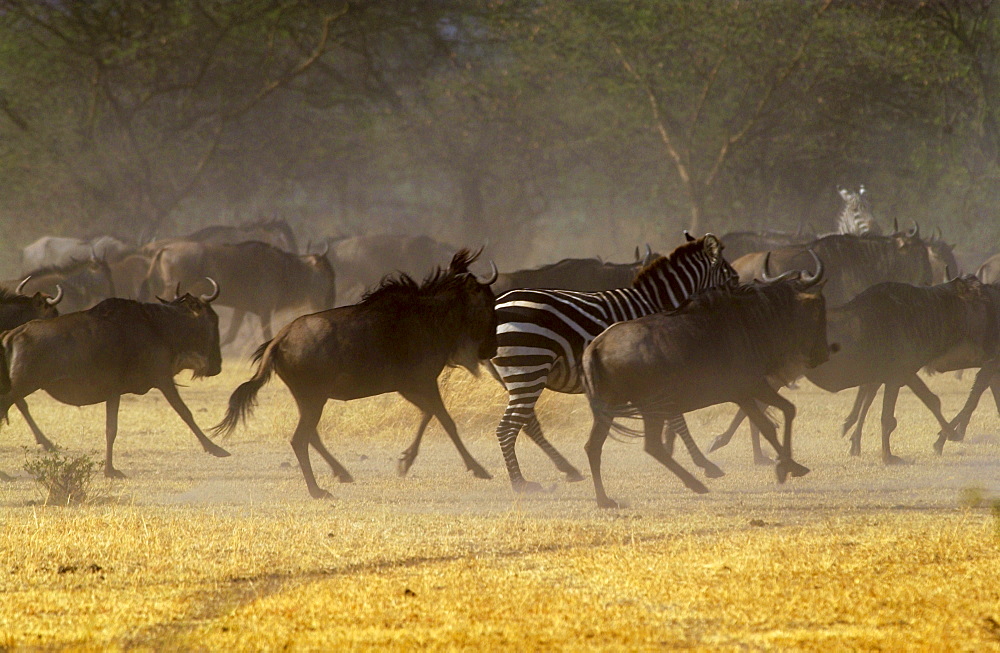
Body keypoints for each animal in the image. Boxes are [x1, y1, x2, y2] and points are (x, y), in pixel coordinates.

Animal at [488, 232, 740, 492]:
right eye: (732, 275)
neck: (659, 305)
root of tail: (497, 304)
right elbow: (678, 419)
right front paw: (704, 464)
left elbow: (675, 418)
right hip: (527, 367)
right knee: (507, 427)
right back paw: (520, 483)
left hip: (515, 376)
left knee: (526, 423)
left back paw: (566, 470)